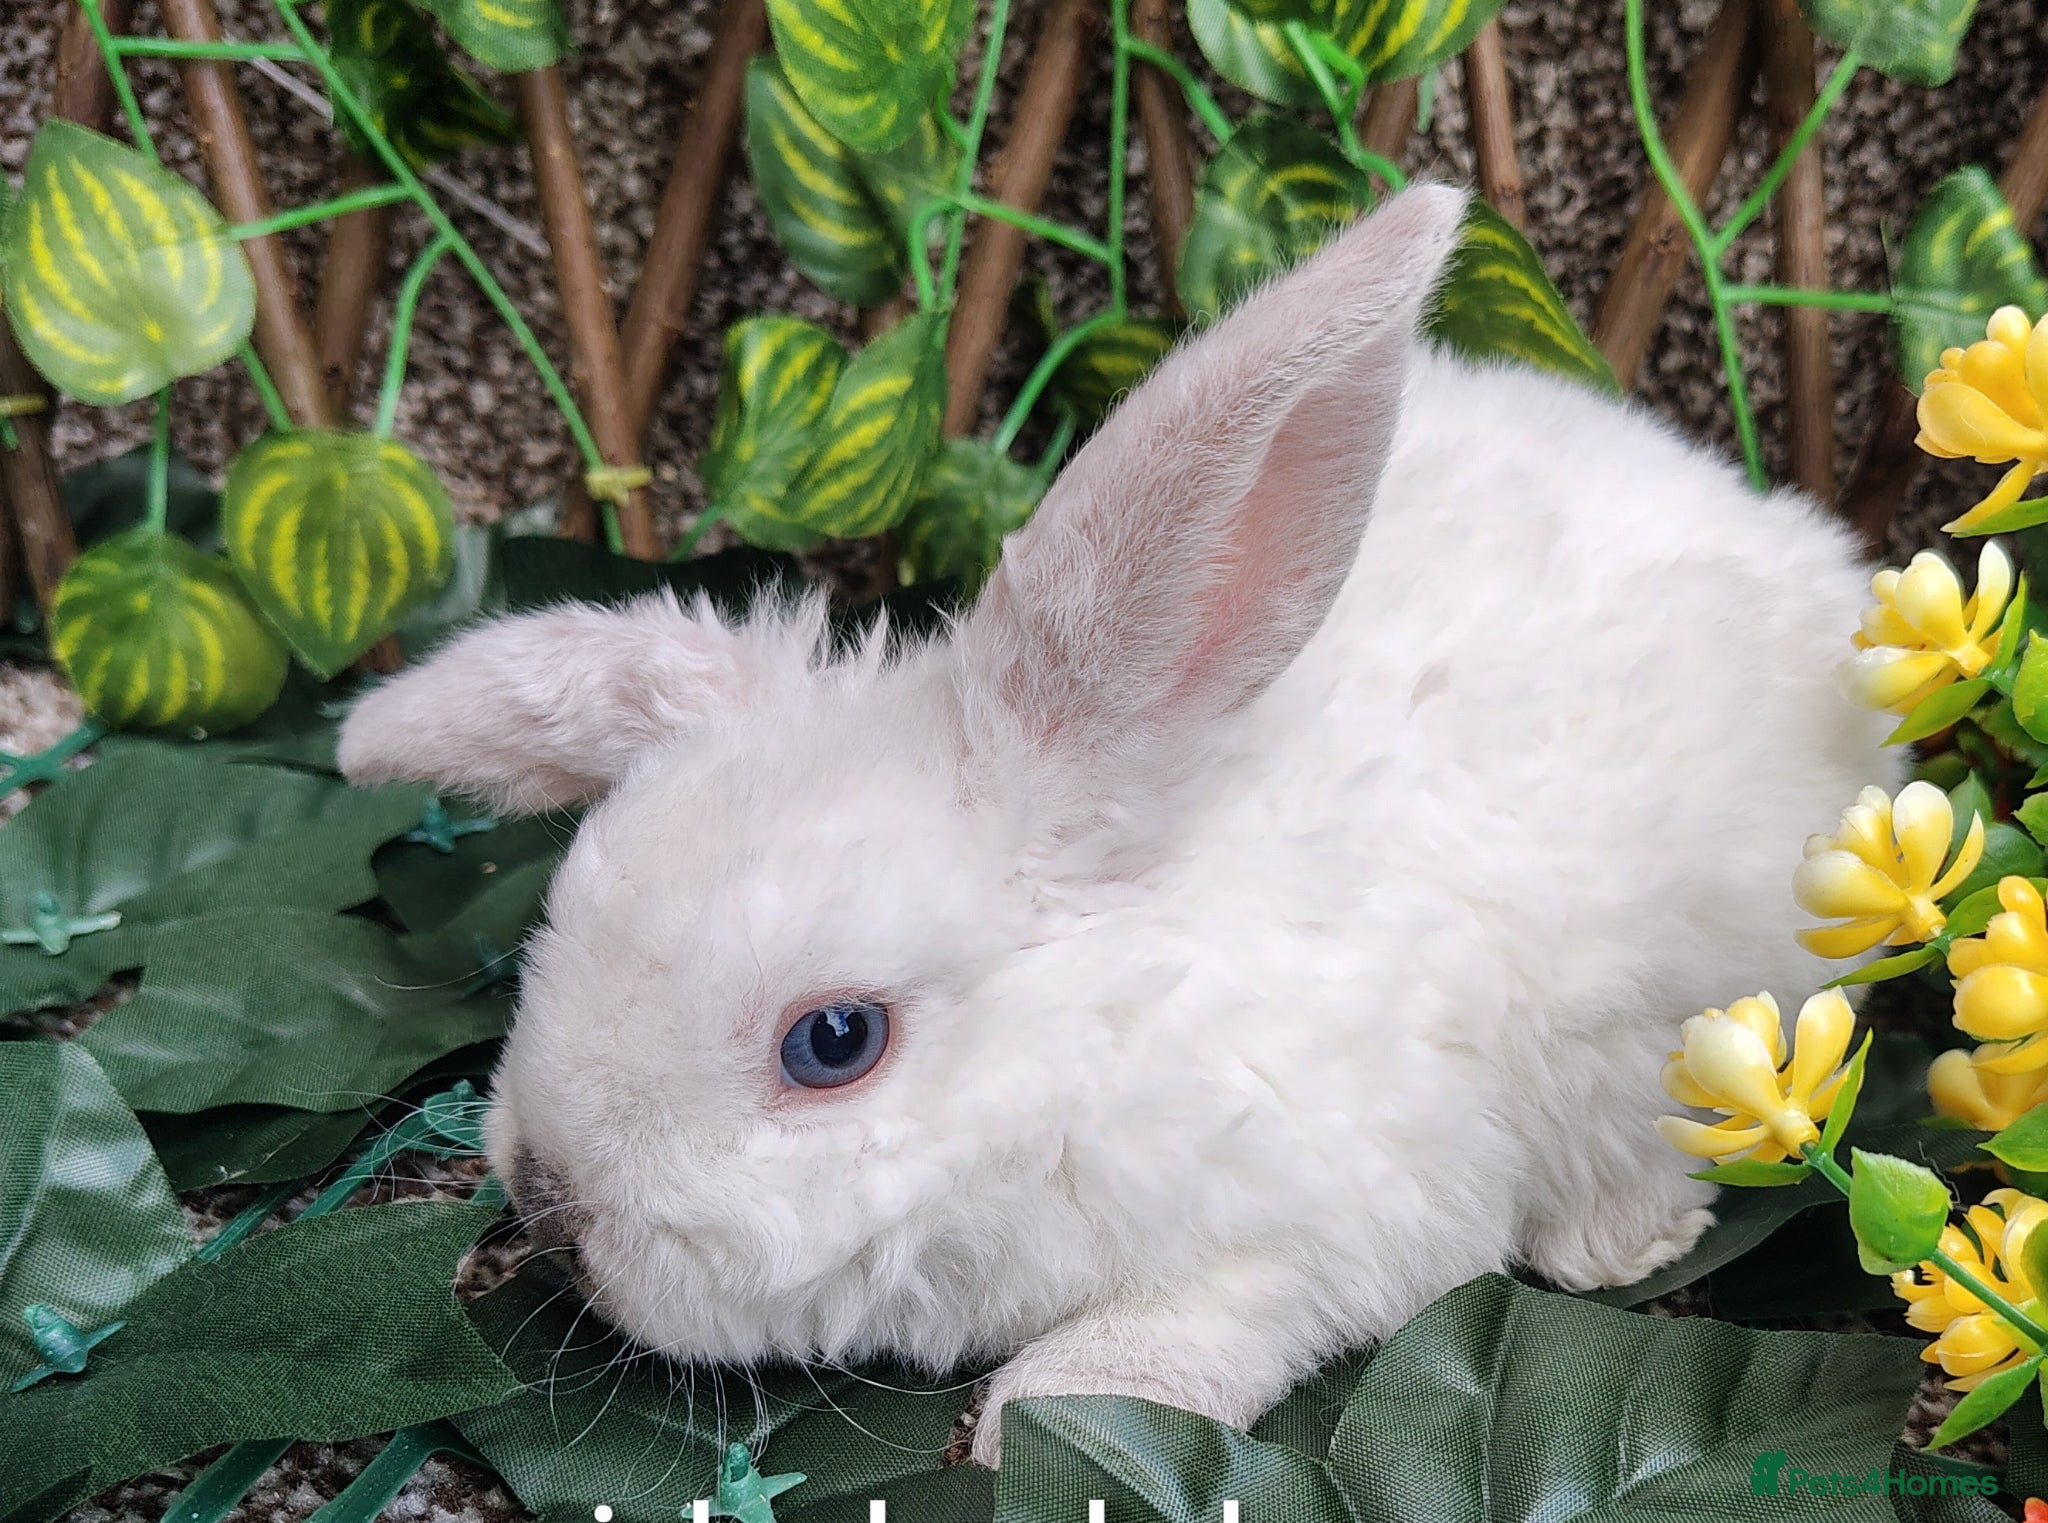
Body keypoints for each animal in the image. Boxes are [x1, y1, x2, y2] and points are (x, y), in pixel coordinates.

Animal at [337, 184, 1901, 1465]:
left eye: (833, 1040)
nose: (548, 1201)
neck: (1110, 1011)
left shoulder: (1326, 1215)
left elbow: (1193, 1327)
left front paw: (1034, 1419)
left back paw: (1610, 1233)